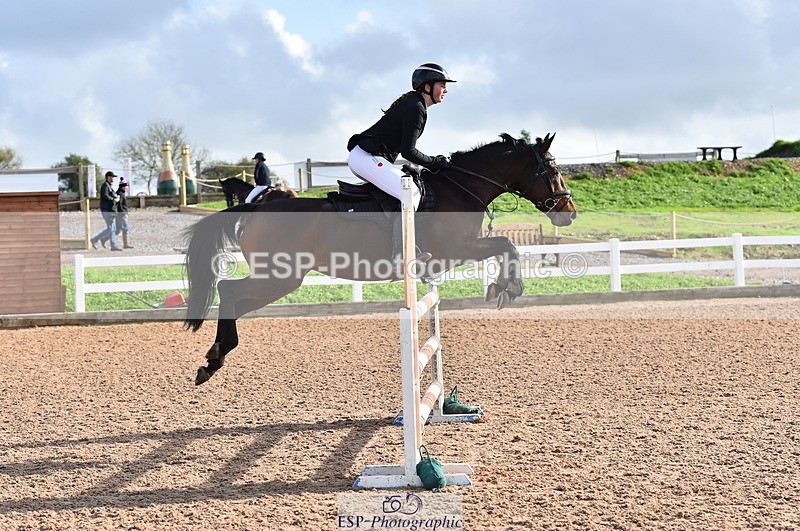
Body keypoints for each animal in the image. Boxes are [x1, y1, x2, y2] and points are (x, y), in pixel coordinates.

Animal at [185, 133, 576, 385]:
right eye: (552, 170)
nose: (568, 213)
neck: (460, 190)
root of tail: (256, 209)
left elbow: (506, 246)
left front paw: (501, 287)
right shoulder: (457, 249)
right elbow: (507, 245)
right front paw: (508, 288)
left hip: (280, 280)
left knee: (234, 297)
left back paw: (214, 358)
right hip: (279, 277)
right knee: (229, 291)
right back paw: (216, 355)